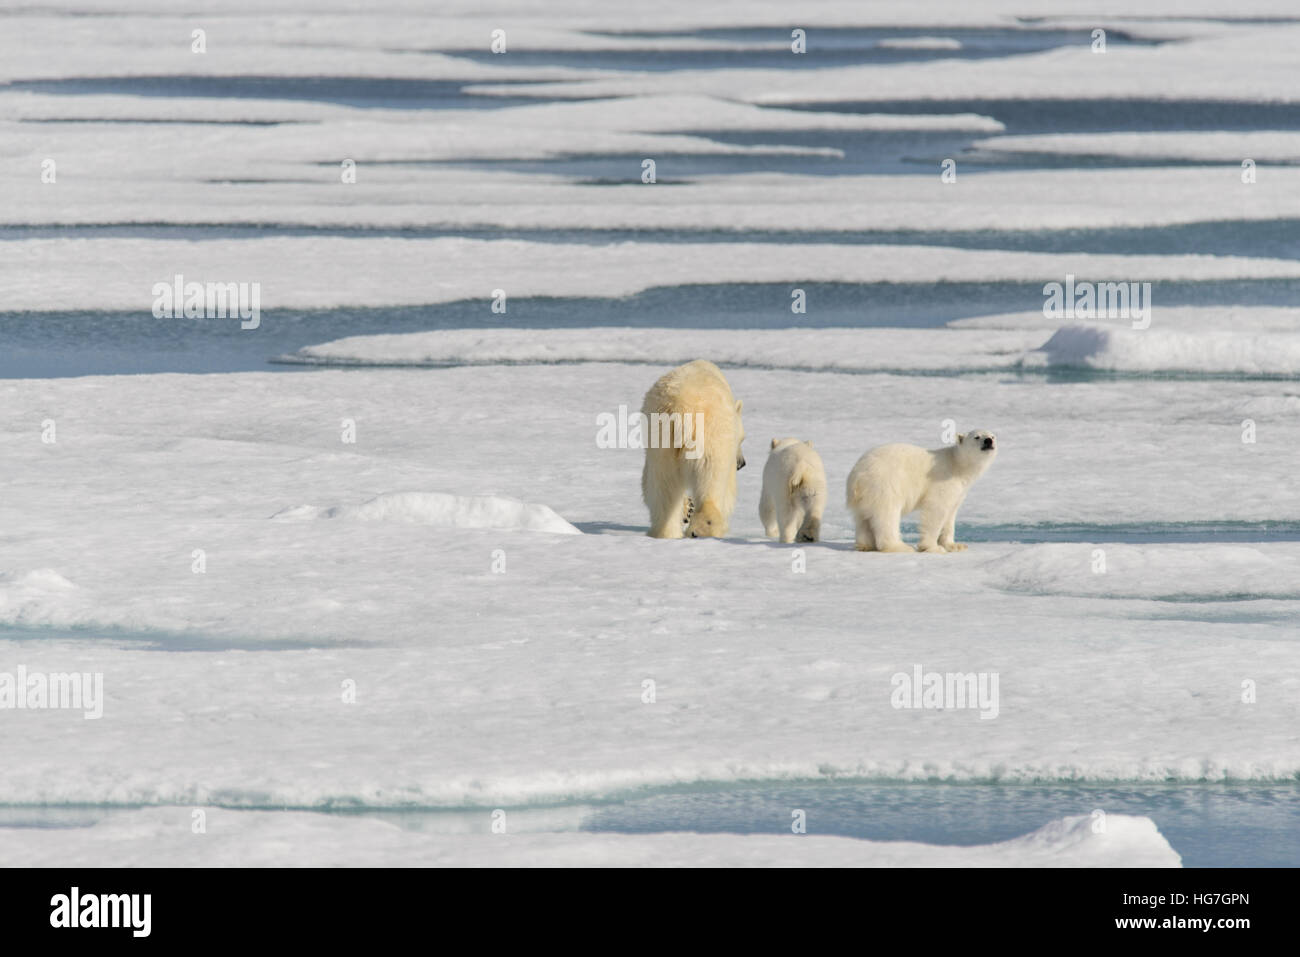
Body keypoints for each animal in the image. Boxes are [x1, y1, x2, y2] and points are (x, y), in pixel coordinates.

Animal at [641, 360, 745, 538]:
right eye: (742, 439)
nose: (741, 463)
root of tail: (680, 409)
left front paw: (686, 509)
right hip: (709, 436)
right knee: (711, 480)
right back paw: (704, 529)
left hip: (661, 441)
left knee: (663, 487)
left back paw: (666, 532)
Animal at [845, 429, 997, 554]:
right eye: (977, 437)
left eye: (992, 436)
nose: (988, 441)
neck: (958, 465)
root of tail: (856, 477)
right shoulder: (942, 480)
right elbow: (936, 509)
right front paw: (933, 547)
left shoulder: (960, 491)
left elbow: (950, 514)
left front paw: (955, 545)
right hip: (884, 484)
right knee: (887, 514)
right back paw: (900, 546)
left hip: (866, 494)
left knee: (863, 518)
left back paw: (865, 545)